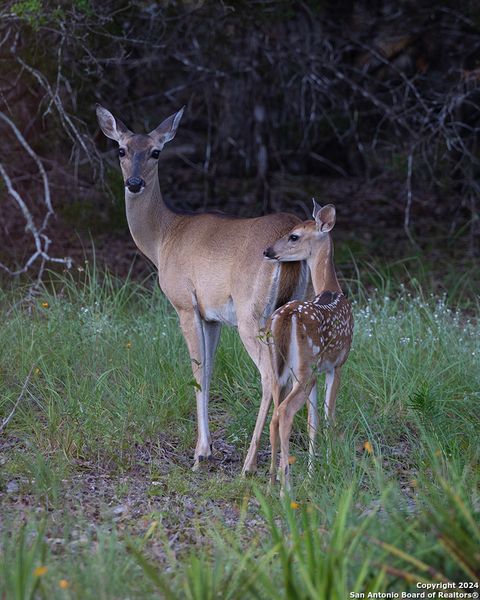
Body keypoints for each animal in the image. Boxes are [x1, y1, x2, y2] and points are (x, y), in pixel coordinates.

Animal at [95, 106, 310, 474]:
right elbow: (208, 372)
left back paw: (250, 464)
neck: (164, 237)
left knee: (270, 376)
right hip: (294, 305)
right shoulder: (212, 317)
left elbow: (197, 372)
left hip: (252, 313)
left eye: (156, 152)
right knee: (296, 375)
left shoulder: (185, 303)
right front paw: (205, 449)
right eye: (121, 150)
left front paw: (201, 453)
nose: (134, 183)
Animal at [262, 202, 352, 492]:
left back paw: (271, 482)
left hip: (280, 369)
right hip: (304, 368)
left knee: (274, 414)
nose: (268, 251)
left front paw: (313, 475)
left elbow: (313, 421)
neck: (331, 289)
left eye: (294, 236)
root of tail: (284, 317)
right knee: (285, 412)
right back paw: (284, 487)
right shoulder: (336, 365)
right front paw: (331, 466)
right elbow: (328, 415)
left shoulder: (317, 372)